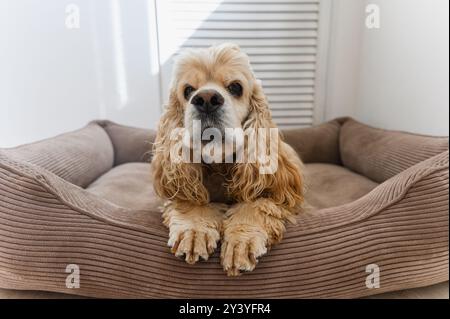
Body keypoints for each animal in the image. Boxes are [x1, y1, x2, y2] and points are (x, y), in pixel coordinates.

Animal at [152, 43, 306, 278]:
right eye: (188, 91)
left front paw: (241, 242)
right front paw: (194, 231)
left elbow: (257, 203)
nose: (206, 99)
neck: (219, 164)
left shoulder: (282, 196)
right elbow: (191, 200)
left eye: (235, 87)